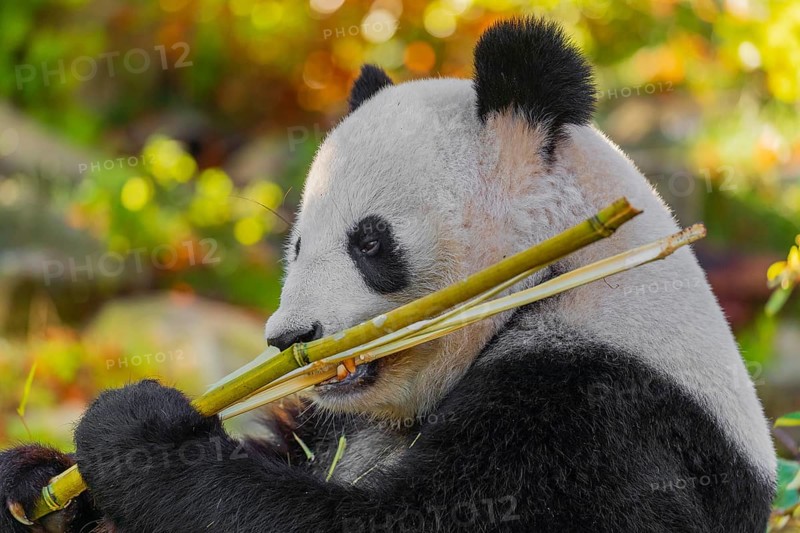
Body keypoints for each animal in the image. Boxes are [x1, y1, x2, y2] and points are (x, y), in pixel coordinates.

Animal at [0, 17, 776, 533]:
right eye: (297, 245)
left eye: (370, 243)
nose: (290, 337)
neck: (562, 272)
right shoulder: (329, 419)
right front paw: (39, 481)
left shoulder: (605, 412)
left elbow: (406, 517)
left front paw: (137, 433)